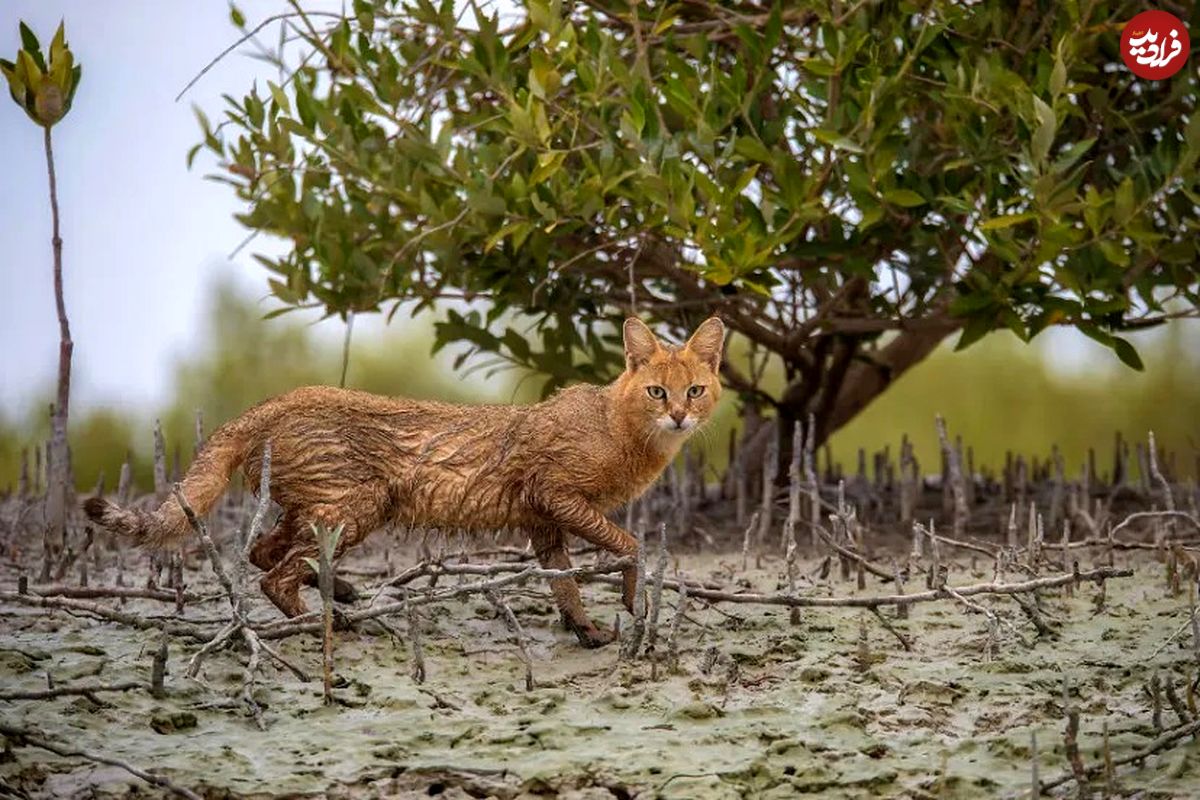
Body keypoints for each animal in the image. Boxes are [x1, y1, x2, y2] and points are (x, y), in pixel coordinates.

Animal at [87, 316, 720, 647]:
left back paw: (338, 591)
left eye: (696, 390)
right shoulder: (555, 494)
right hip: (362, 502)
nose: (679, 416)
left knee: (264, 553)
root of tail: (273, 402)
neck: (622, 430)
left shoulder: (543, 521)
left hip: (320, 506)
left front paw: (585, 629)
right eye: (656, 391)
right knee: (273, 573)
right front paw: (630, 599)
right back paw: (330, 620)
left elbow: (563, 581)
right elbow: (629, 543)